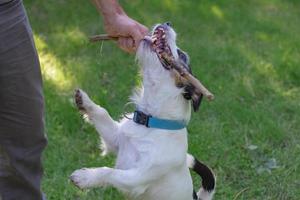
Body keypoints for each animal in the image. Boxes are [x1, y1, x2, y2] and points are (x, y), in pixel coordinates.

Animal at [70, 22, 216, 199]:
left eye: (181, 54)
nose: (167, 23)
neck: (150, 121)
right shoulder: (114, 140)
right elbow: (102, 112)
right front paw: (84, 101)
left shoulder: (137, 178)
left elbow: (110, 172)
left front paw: (85, 177)